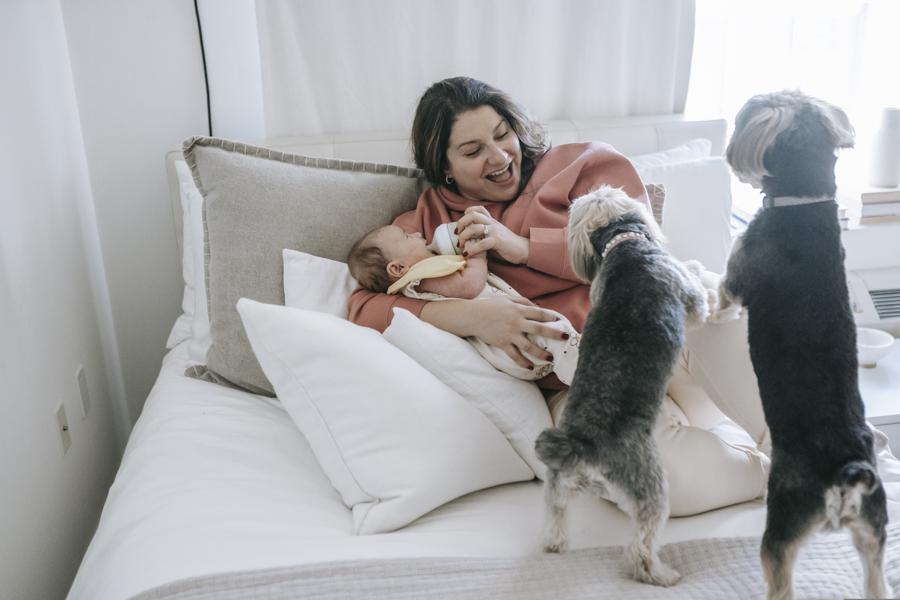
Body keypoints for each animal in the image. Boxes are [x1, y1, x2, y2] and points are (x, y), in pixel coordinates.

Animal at [536, 186, 712, 584]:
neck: (624, 245)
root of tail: (582, 447)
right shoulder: (691, 300)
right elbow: (698, 290)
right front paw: (700, 268)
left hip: (558, 486)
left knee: (555, 516)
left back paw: (555, 543)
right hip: (649, 484)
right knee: (641, 547)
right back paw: (662, 575)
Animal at [716, 90, 892, 600]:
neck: (805, 202)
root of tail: (846, 471)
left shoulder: (735, 277)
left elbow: (721, 293)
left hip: (782, 530)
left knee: (780, 580)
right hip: (874, 533)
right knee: (876, 580)